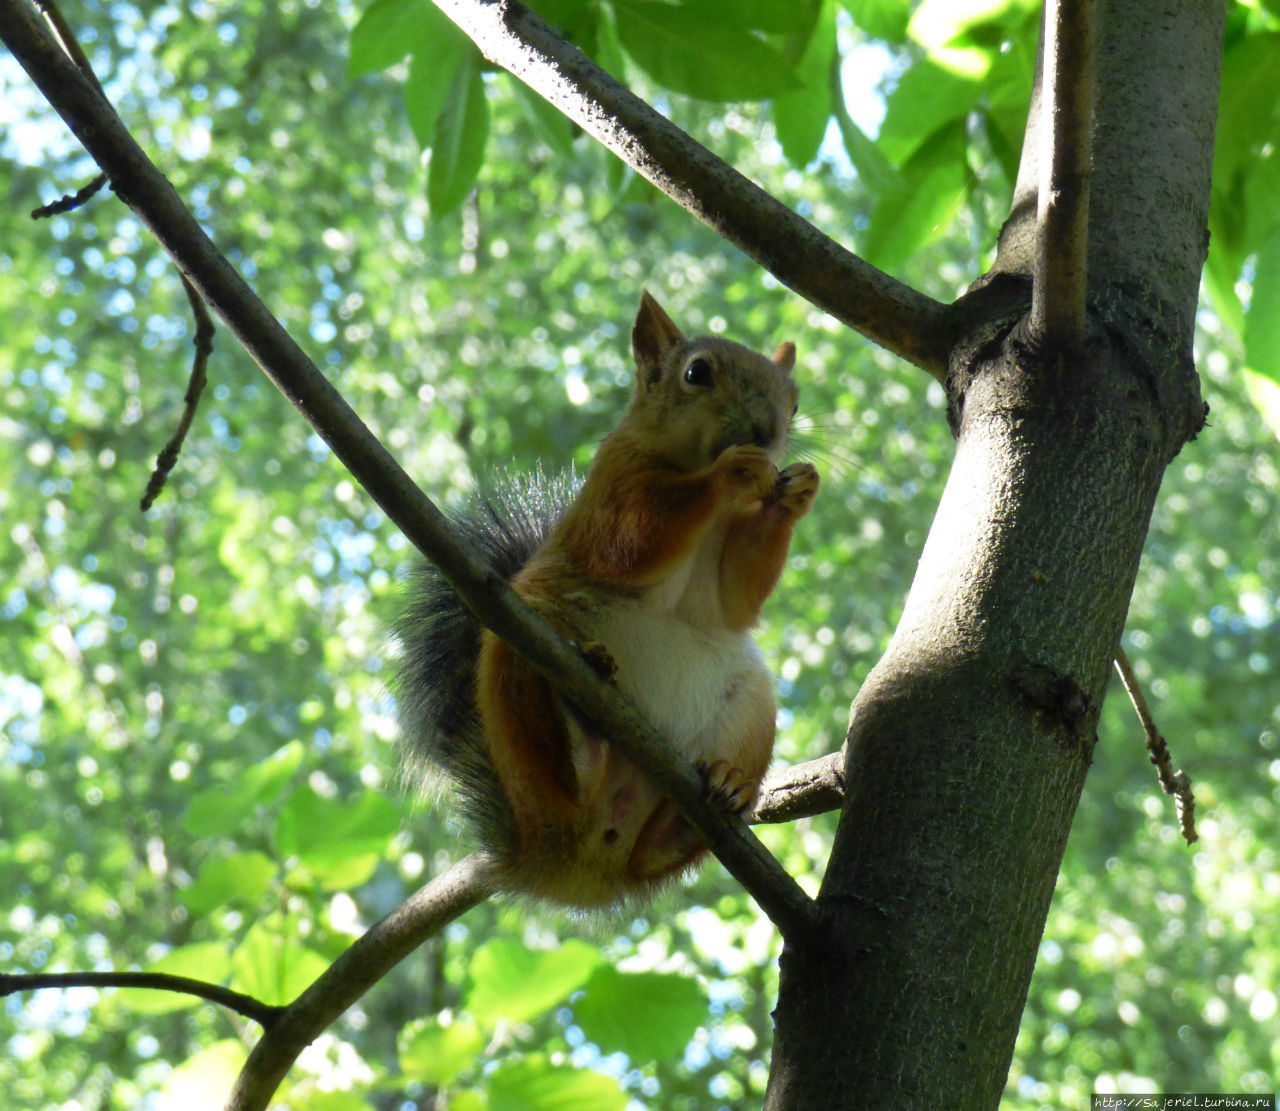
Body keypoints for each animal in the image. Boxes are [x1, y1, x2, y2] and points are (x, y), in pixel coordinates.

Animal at [394, 290, 819, 906]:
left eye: (794, 401)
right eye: (697, 373)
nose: (765, 432)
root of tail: (569, 865)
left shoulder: (727, 574)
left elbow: (734, 599)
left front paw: (797, 491)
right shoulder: (612, 487)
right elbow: (633, 541)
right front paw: (733, 469)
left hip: (750, 711)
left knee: (656, 851)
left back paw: (722, 790)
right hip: (516, 655)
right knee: (565, 774)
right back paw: (581, 737)